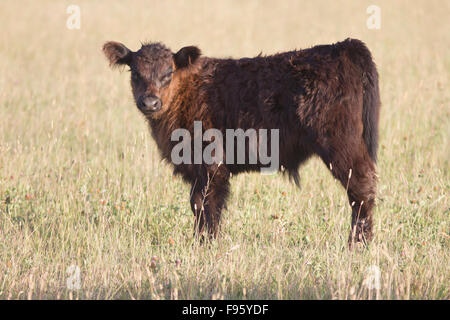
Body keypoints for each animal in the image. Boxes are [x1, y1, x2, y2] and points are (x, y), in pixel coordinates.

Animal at [104, 38, 380, 248]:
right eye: (135, 72)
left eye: (168, 73)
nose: (150, 102)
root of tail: (344, 46)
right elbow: (198, 205)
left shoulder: (211, 165)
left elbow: (209, 205)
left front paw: (207, 244)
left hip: (343, 149)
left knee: (361, 191)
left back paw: (357, 245)